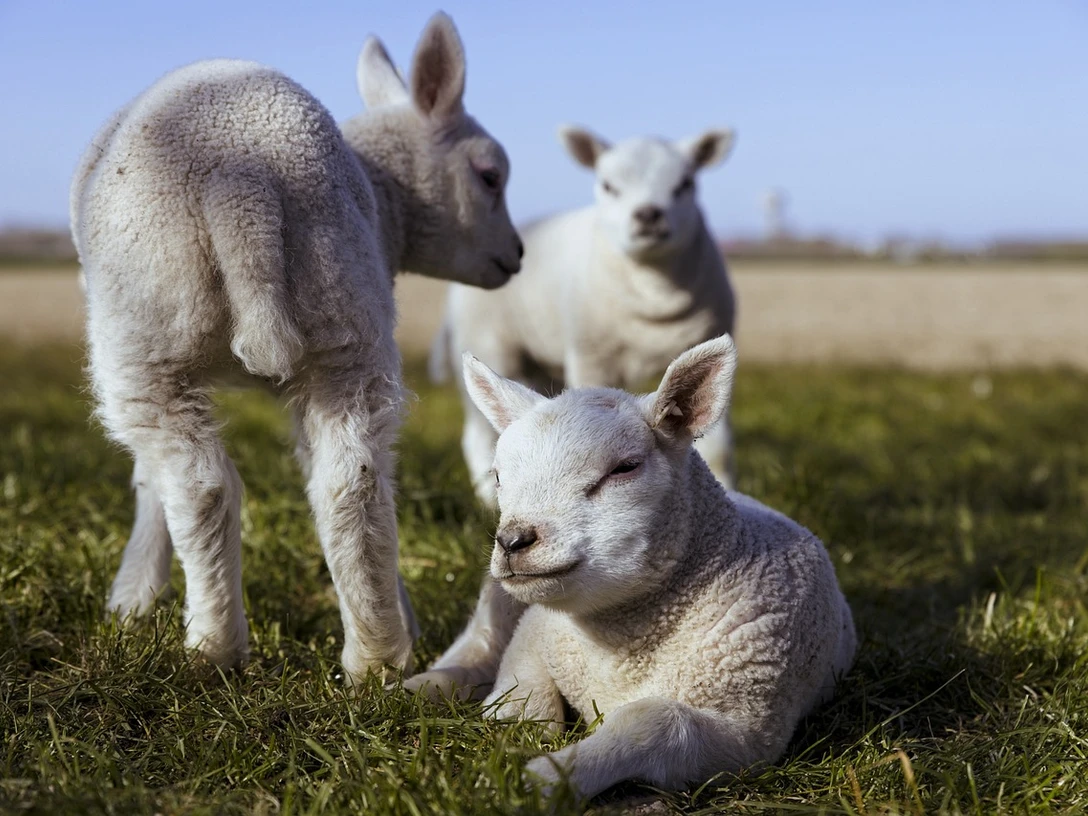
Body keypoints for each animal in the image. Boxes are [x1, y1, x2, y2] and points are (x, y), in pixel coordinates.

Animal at [69, 12, 523, 683]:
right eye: (490, 176)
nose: (517, 254)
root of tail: (243, 181)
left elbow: (148, 482)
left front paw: (132, 599)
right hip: (344, 317)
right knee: (350, 483)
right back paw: (376, 655)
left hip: (146, 334)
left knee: (199, 486)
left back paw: (214, 648)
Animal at [411, 335, 856, 801]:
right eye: (497, 476)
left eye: (624, 468)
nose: (513, 541)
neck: (616, 646)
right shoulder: (535, 630)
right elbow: (521, 691)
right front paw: (512, 728)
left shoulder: (750, 733)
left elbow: (652, 721)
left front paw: (544, 778)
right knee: (481, 640)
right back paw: (421, 685)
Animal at [431, 125, 738, 506]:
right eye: (607, 186)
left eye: (685, 184)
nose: (648, 215)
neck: (653, 293)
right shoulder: (591, 356)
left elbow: (718, 448)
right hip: (488, 340)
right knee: (477, 434)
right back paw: (488, 497)